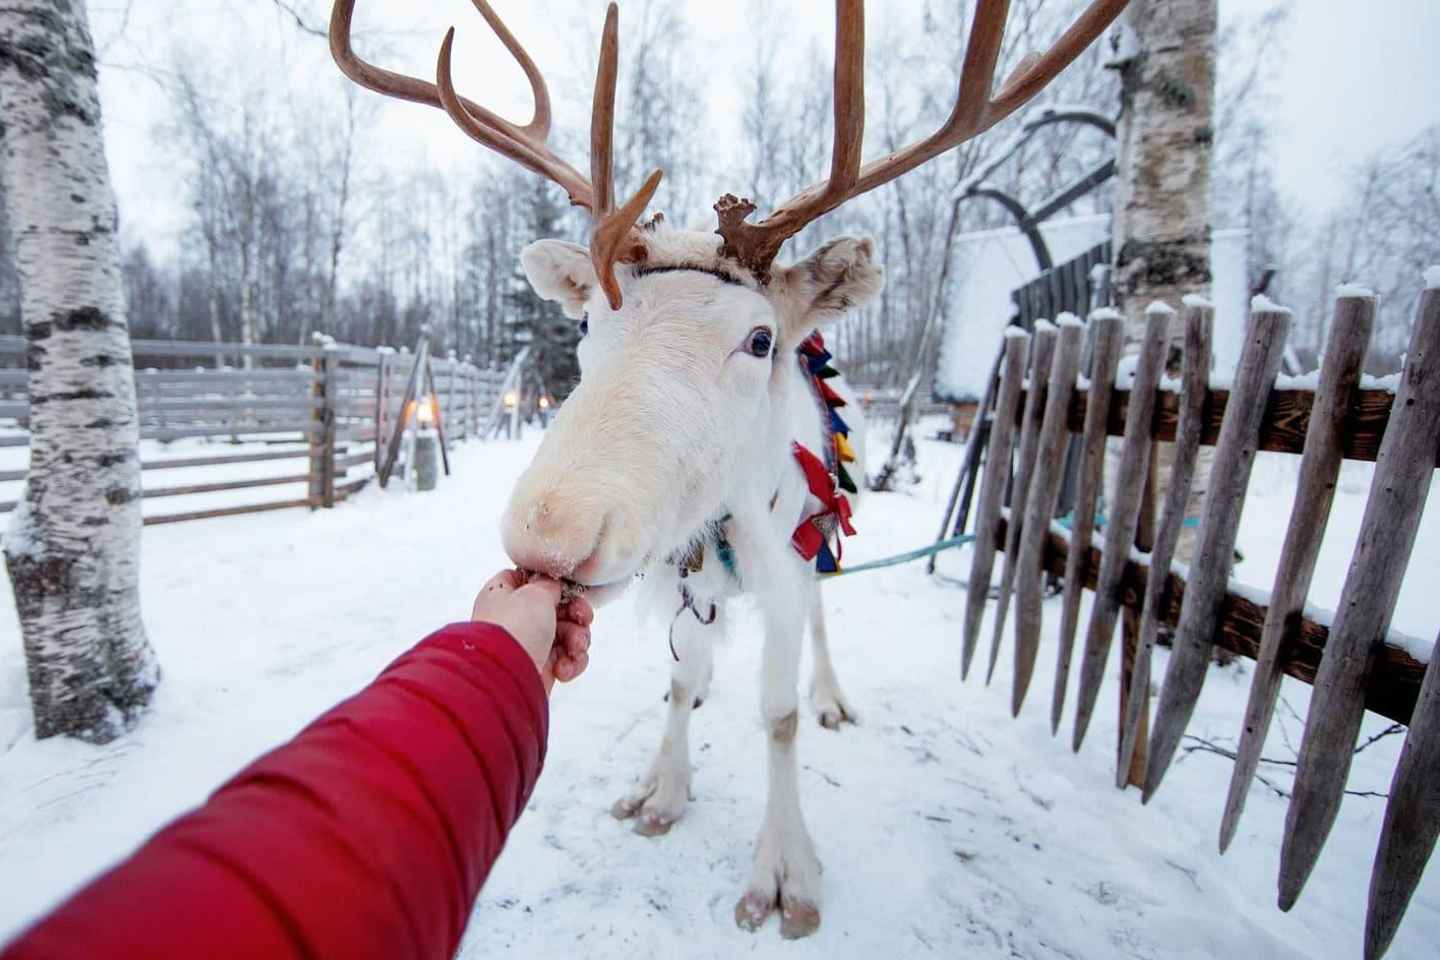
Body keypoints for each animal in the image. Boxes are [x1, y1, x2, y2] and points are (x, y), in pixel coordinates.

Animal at [330, 0, 1125, 939]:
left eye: (758, 339)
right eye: (588, 325)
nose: (549, 533)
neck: (726, 523)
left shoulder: (787, 566)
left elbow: (778, 718)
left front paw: (785, 873)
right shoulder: (685, 570)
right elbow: (676, 682)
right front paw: (662, 790)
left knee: (820, 625)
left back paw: (831, 694)